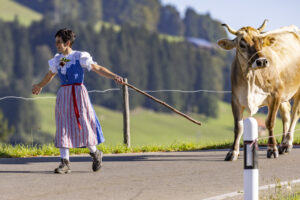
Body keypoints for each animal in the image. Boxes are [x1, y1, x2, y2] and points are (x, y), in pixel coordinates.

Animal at [217, 19, 300, 161]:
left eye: (261, 42)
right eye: (242, 44)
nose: (261, 61)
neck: (250, 79)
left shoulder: (275, 95)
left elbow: (270, 122)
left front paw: (272, 149)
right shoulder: (235, 99)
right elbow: (238, 127)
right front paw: (233, 152)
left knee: (295, 114)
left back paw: (287, 143)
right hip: (284, 95)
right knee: (286, 115)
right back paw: (283, 144)